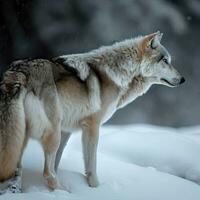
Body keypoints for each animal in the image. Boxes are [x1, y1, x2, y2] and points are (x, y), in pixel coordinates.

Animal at [0, 31, 185, 192]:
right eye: (166, 61)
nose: (183, 79)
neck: (118, 73)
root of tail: (18, 72)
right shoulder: (92, 126)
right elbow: (91, 165)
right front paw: (96, 189)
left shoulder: (66, 131)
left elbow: (57, 165)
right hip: (52, 134)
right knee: (46, 173)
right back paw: (65, 193)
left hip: (25, 136)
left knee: (20, 169)